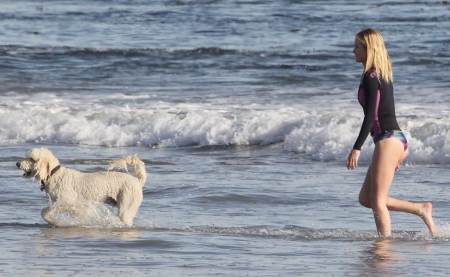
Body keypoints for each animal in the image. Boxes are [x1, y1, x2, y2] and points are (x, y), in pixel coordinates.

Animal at [16, 148, 147, 225]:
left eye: (32, 159)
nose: (17, 163)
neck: (55, 174)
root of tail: (138, 181)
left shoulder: (68, 202)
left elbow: (45, 212)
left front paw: (53, 221)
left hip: (127, 205)